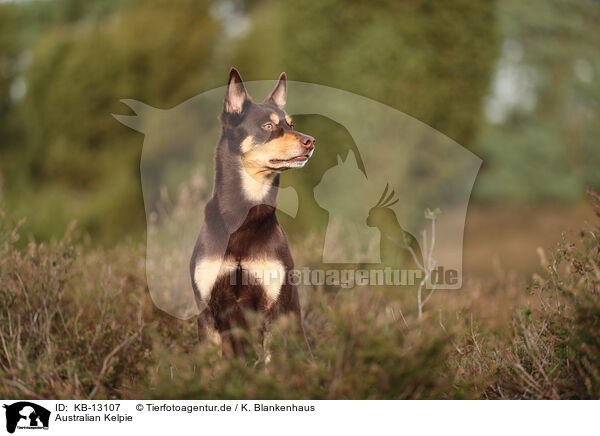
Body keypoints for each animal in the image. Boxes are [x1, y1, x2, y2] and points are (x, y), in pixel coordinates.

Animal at [191, 68, 314, 360]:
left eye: (291, 124)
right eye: (268, 126)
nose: (310, 141)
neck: (243, 218)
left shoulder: (272, 308)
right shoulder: (206, 311)